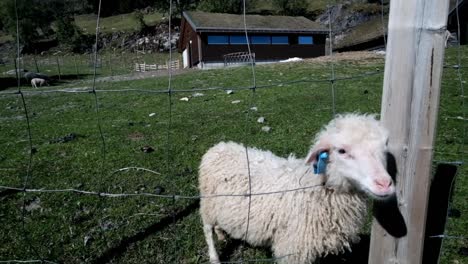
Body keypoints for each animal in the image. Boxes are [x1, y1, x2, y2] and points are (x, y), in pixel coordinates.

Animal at [197, 113, 394, 264]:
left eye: (384, 147)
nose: (385, 184)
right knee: (206, 230)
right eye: (342, 151)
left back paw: (222, 234)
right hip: (207, 204)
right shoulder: (293, 249)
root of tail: (218, 147)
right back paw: (214, 257)